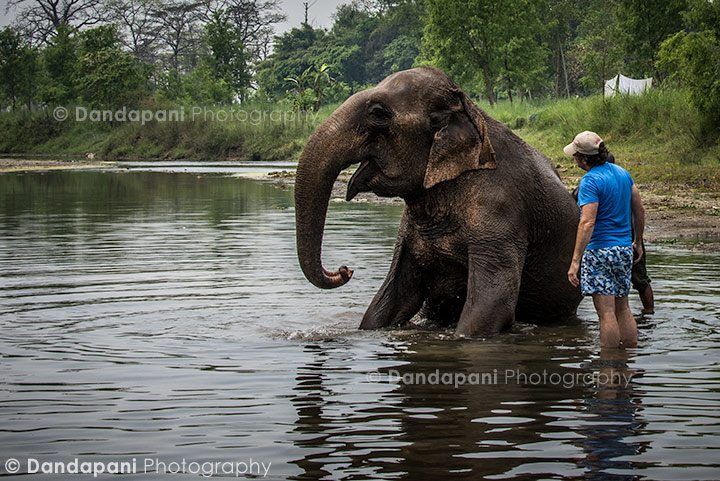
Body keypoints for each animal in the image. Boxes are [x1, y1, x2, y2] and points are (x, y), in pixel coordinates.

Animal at [294, 67, 582, 337]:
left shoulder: (501, 209)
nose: (345, 270)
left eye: (378, 113)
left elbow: (491, 305)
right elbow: (391, 300)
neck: (467, 108)